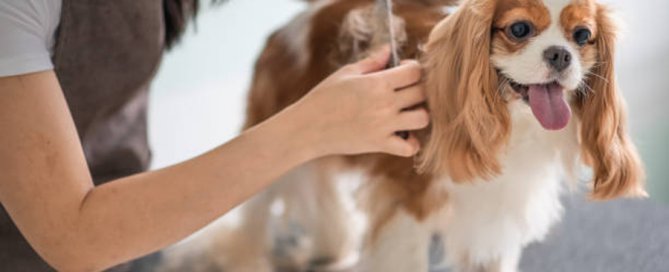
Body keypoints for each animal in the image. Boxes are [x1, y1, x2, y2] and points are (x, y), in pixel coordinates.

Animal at [222, 0, 644, 270]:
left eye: (582, 35)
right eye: (520, 29)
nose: (560, 54)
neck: (512, 124)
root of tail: (282, 32)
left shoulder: (496, 210)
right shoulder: (408, 207)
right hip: (276, 142)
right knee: (256, 209)